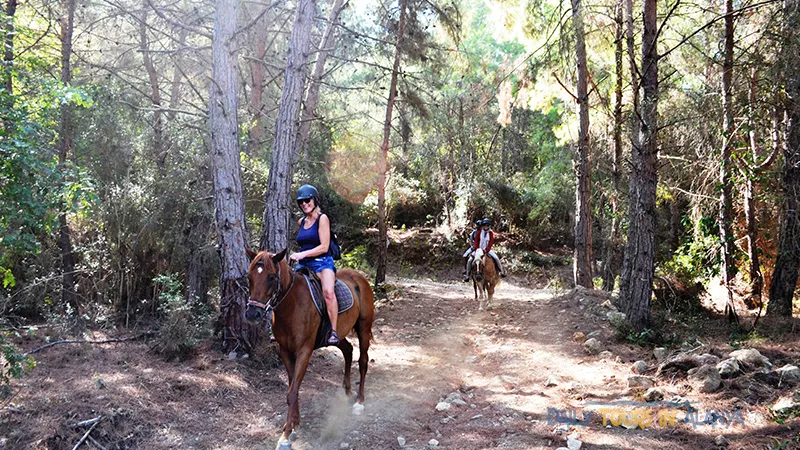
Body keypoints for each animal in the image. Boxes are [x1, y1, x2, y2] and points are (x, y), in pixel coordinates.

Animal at [244, 248, 376, 448]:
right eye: (249, 277)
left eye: (272, 277)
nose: (253, 313)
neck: (291, 305)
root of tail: (360, 277)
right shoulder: (285, 351)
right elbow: (293, 387)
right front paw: (293, 424)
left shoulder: (304, 351)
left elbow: (292, 392)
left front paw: (285, 435)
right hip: (337, 336)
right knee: (348, 350)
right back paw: (346, 392)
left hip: (363, 328)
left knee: (363, 361)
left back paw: (360, 401)